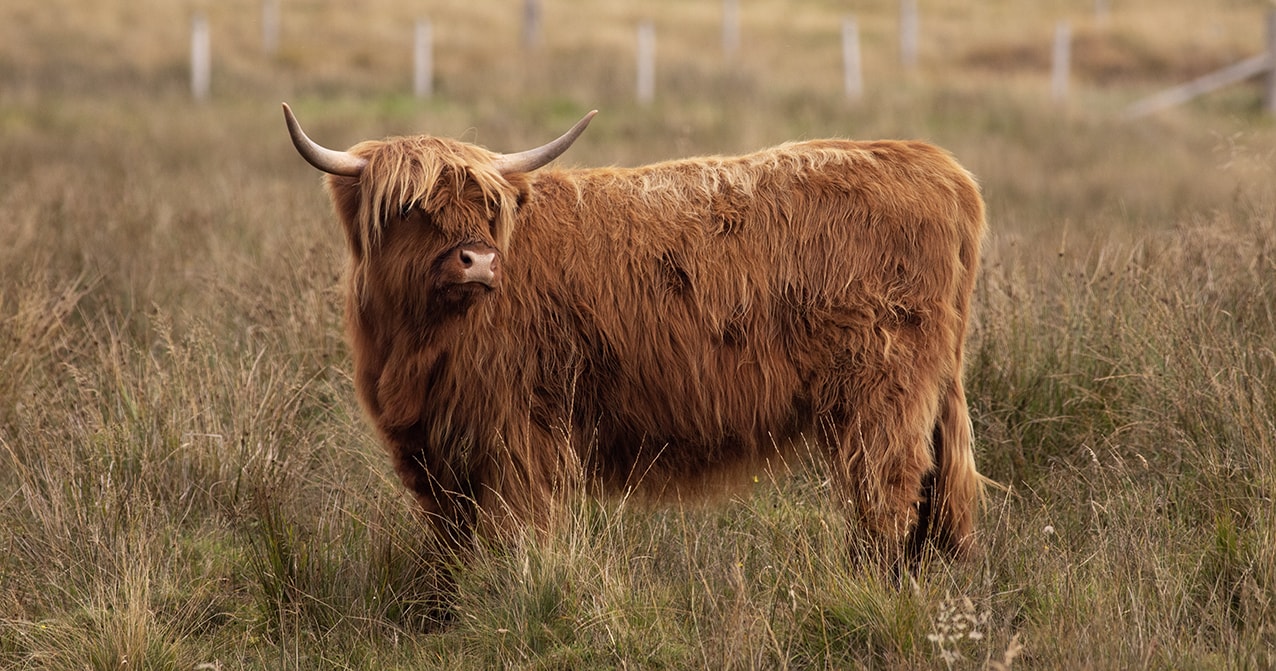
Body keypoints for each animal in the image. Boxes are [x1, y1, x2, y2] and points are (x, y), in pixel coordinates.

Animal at [284, 103, 985, 568]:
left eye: (488, 207)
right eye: (410, 208)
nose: (478, 261)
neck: (416, 342)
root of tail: (937, 166)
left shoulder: (518, 433)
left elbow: (516, 530)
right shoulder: (433, 449)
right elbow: (449, 543)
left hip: (882, 395)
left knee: (888, 494)